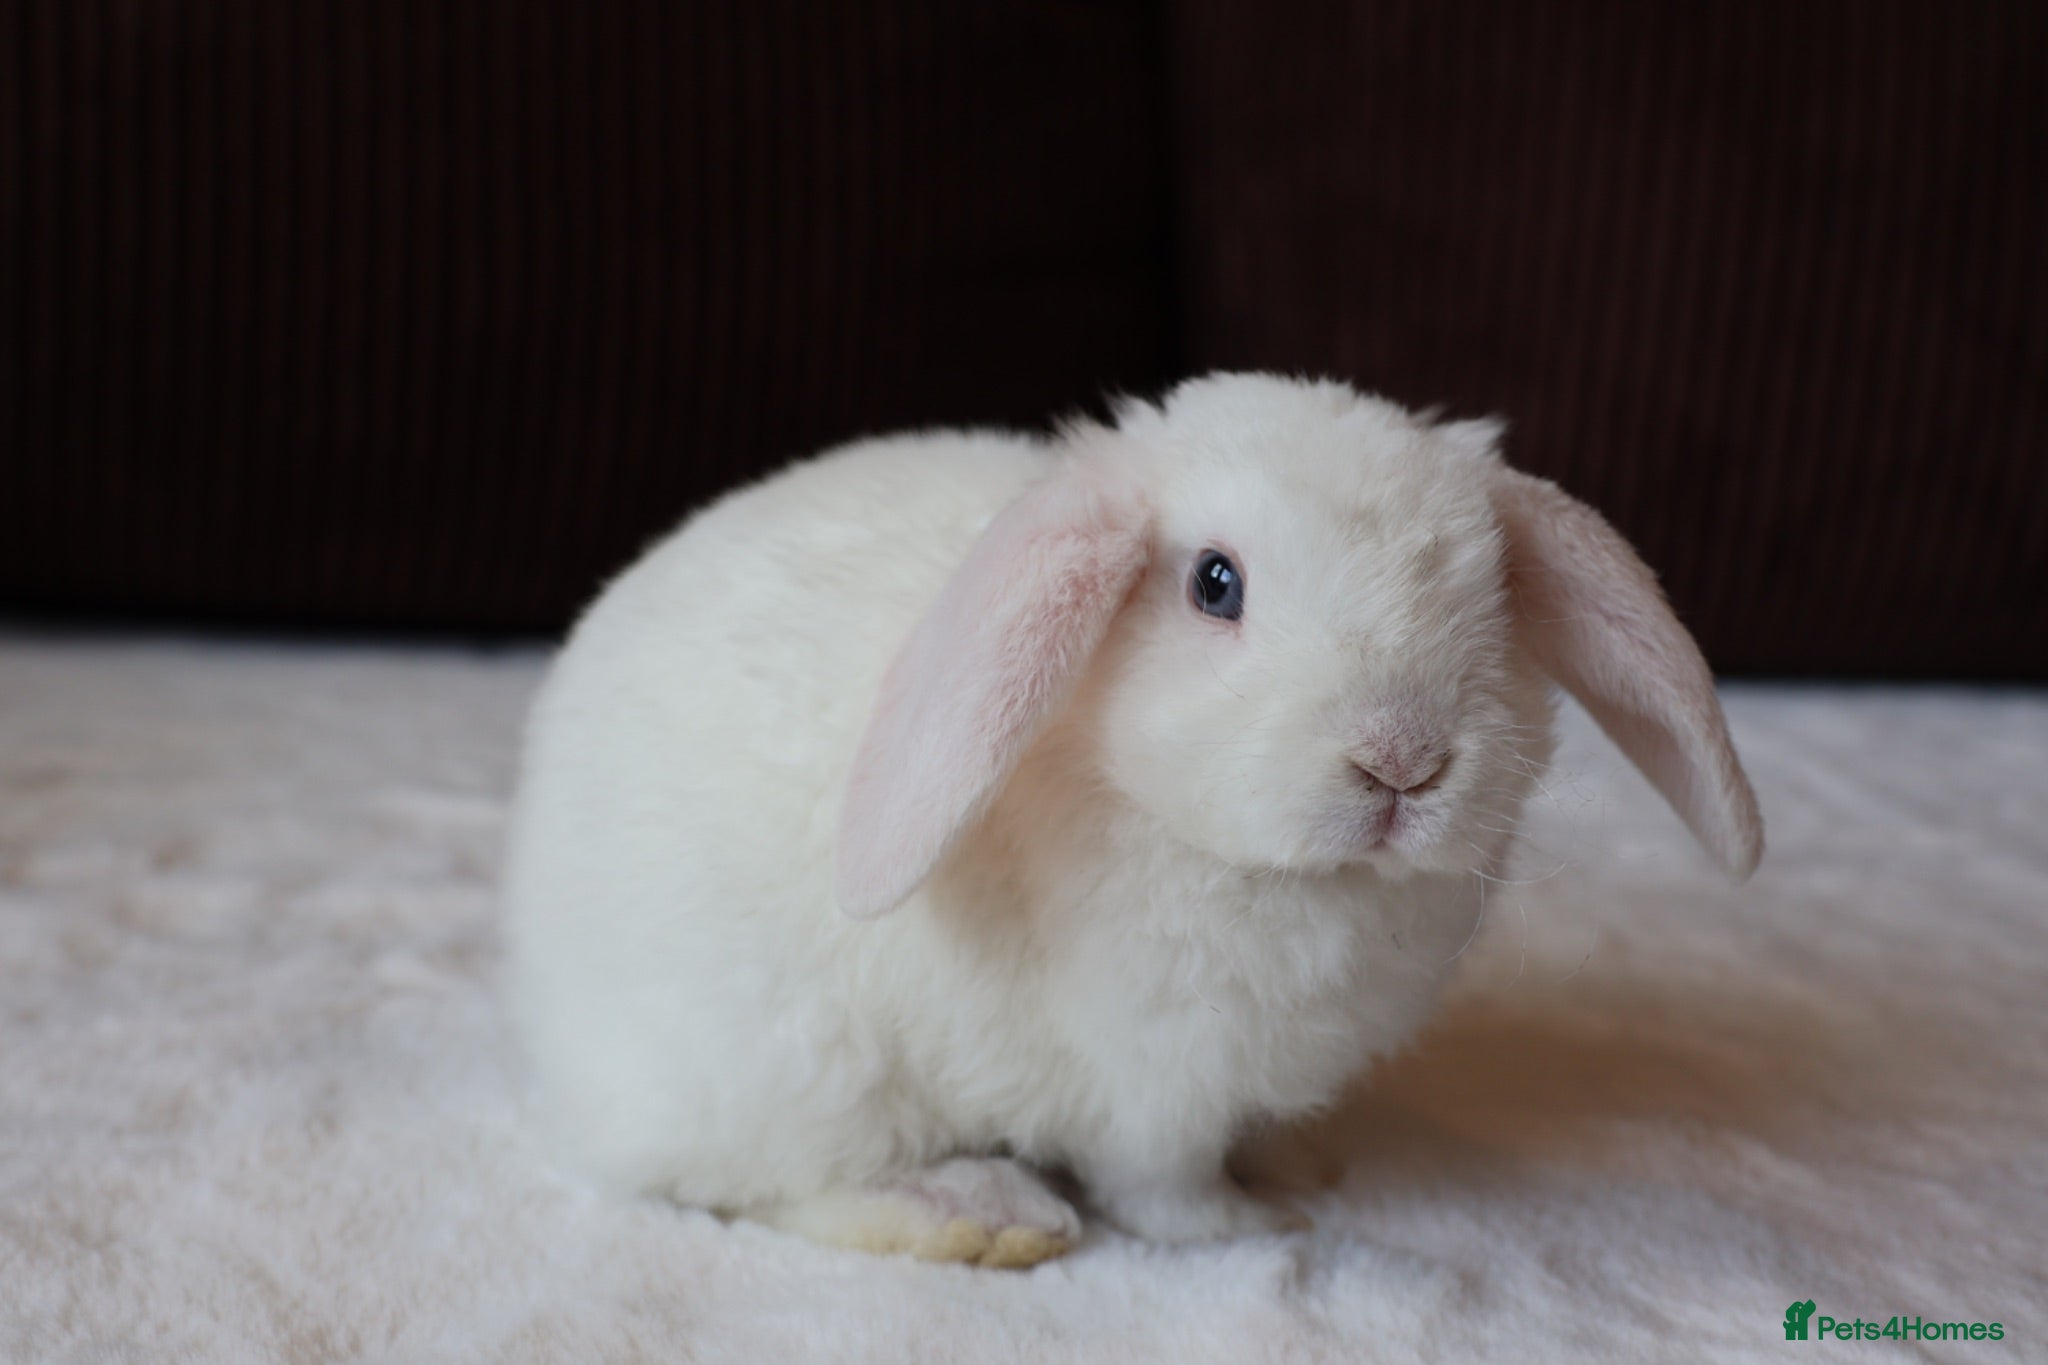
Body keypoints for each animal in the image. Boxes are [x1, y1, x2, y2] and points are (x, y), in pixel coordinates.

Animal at [501, 372, 1762, 1268]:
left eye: (1492, 589)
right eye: (1214, 583)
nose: (1401, 761)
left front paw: (1303, 1165)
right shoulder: (1154, 1082)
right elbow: (1164, 1191)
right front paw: (1256, 1229)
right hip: (799, 1068)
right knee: (755, 1186)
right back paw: (973, 1212)